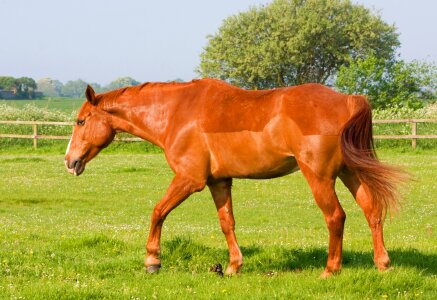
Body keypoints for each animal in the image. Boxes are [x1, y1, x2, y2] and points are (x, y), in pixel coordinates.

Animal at [63, 78, 404, 278]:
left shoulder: (189, 180)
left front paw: (152, 261)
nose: (69, 161)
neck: (177, 112)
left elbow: (158, 212)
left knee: (336, 217)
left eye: (81, 121)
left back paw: (330, 270)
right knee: (372, 211)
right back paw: (383, 264)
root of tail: (346, 99)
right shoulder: (219, 182)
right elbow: (227, 223)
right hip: (351, 172)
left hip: (319, 177)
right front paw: (232, 265)